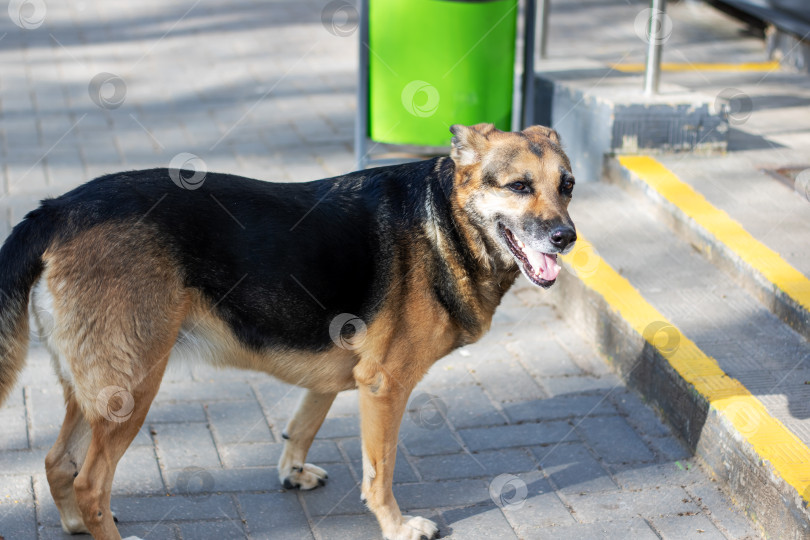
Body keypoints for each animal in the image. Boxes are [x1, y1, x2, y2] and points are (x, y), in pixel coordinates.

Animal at [0, 123, 576, 540]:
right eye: (519, 187)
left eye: (567, 186)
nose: (566, 237)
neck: (445, 218)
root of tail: (57, 209)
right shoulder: (384, 386)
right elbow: (379, 471)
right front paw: (395, 526)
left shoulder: (343, 377)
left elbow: (303, 424)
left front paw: (292, 471)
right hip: (133, 389)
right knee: (91, 483)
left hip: (93, 389)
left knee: (58, 464)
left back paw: (75, 525)